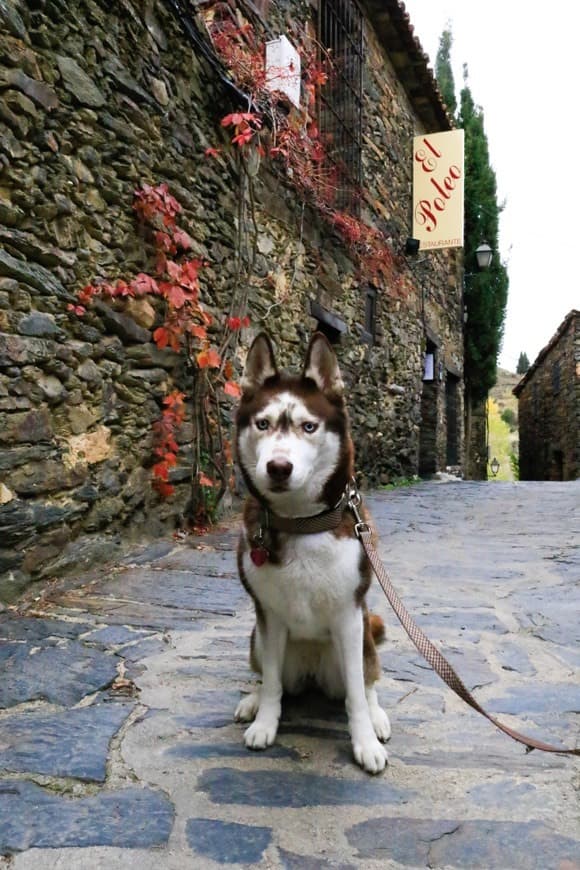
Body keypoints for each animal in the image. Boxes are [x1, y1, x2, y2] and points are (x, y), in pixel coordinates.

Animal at [232, 334, 390, 776]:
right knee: (273, 679)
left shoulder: (350, 617)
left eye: (309, 426)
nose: (278, 467)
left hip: (362, 636)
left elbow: (356, 694)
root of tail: (313, 674)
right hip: (259, 641)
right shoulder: (268, 617)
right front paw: (265, 721)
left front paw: (365, 741)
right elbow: (271, 683)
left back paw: (377, 716)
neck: (301, 523)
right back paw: (252, 701)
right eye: (263, 423)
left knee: (367, 679)